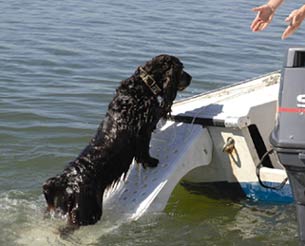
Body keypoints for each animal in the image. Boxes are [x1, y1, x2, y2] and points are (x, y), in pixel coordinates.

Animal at [42, 53, 190, 229]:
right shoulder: (145, 130)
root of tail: (67, 181)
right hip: (88, 213)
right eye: (181, 68)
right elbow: (145, 150)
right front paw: (152, 161)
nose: (191, 78)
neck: (143, 86)